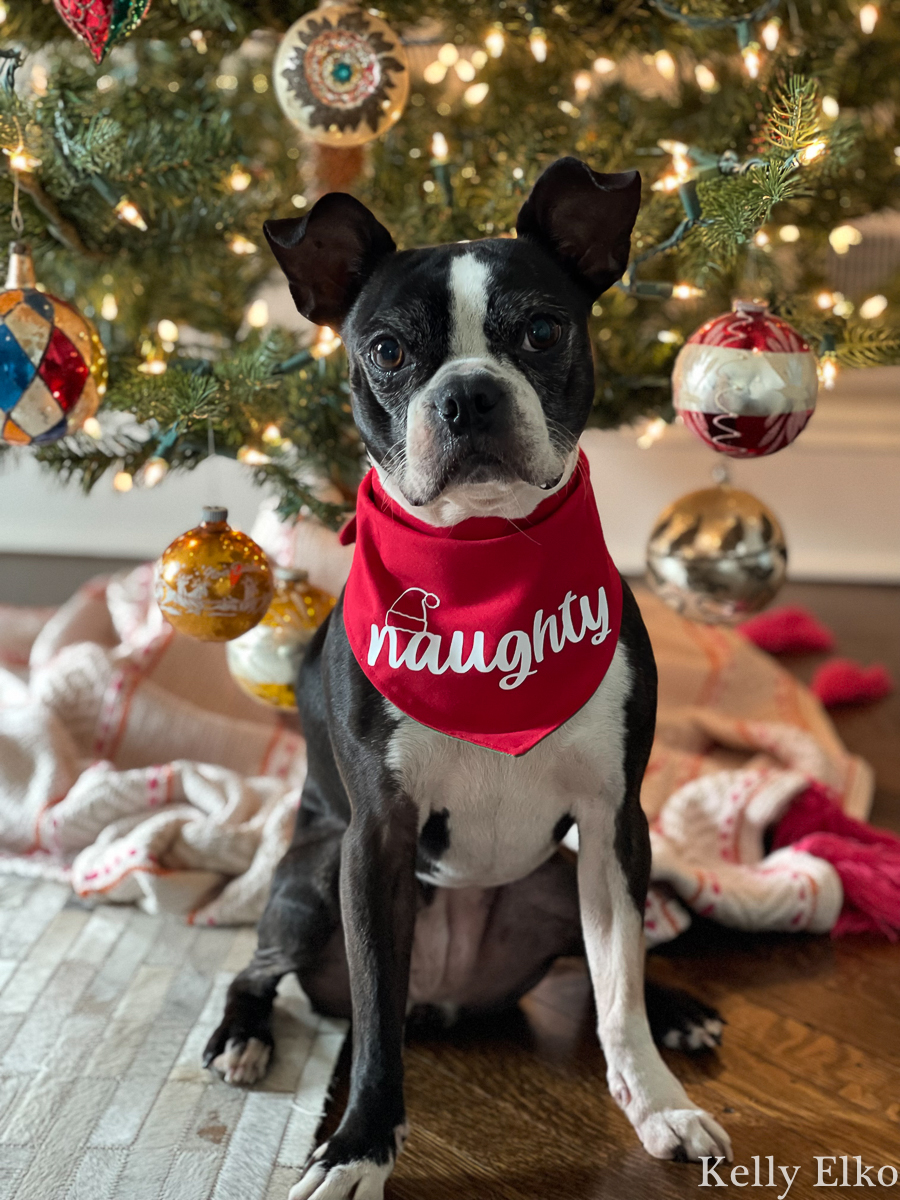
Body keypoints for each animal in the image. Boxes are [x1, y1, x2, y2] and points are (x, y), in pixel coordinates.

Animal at [204, 159, 734, 1200]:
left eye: (542, 331)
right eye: (386, 350)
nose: (469, 397)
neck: (485, 567)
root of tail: (448, 998)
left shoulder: (615, 821)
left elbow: (618, 988)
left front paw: (656, 1103)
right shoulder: (375, 839)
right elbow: (373, 1022)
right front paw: (359, 1147)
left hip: (560, 877)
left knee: (609, 962)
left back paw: (681, 1011)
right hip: (312, 877)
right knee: (257, 968)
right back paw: (242, 1038)